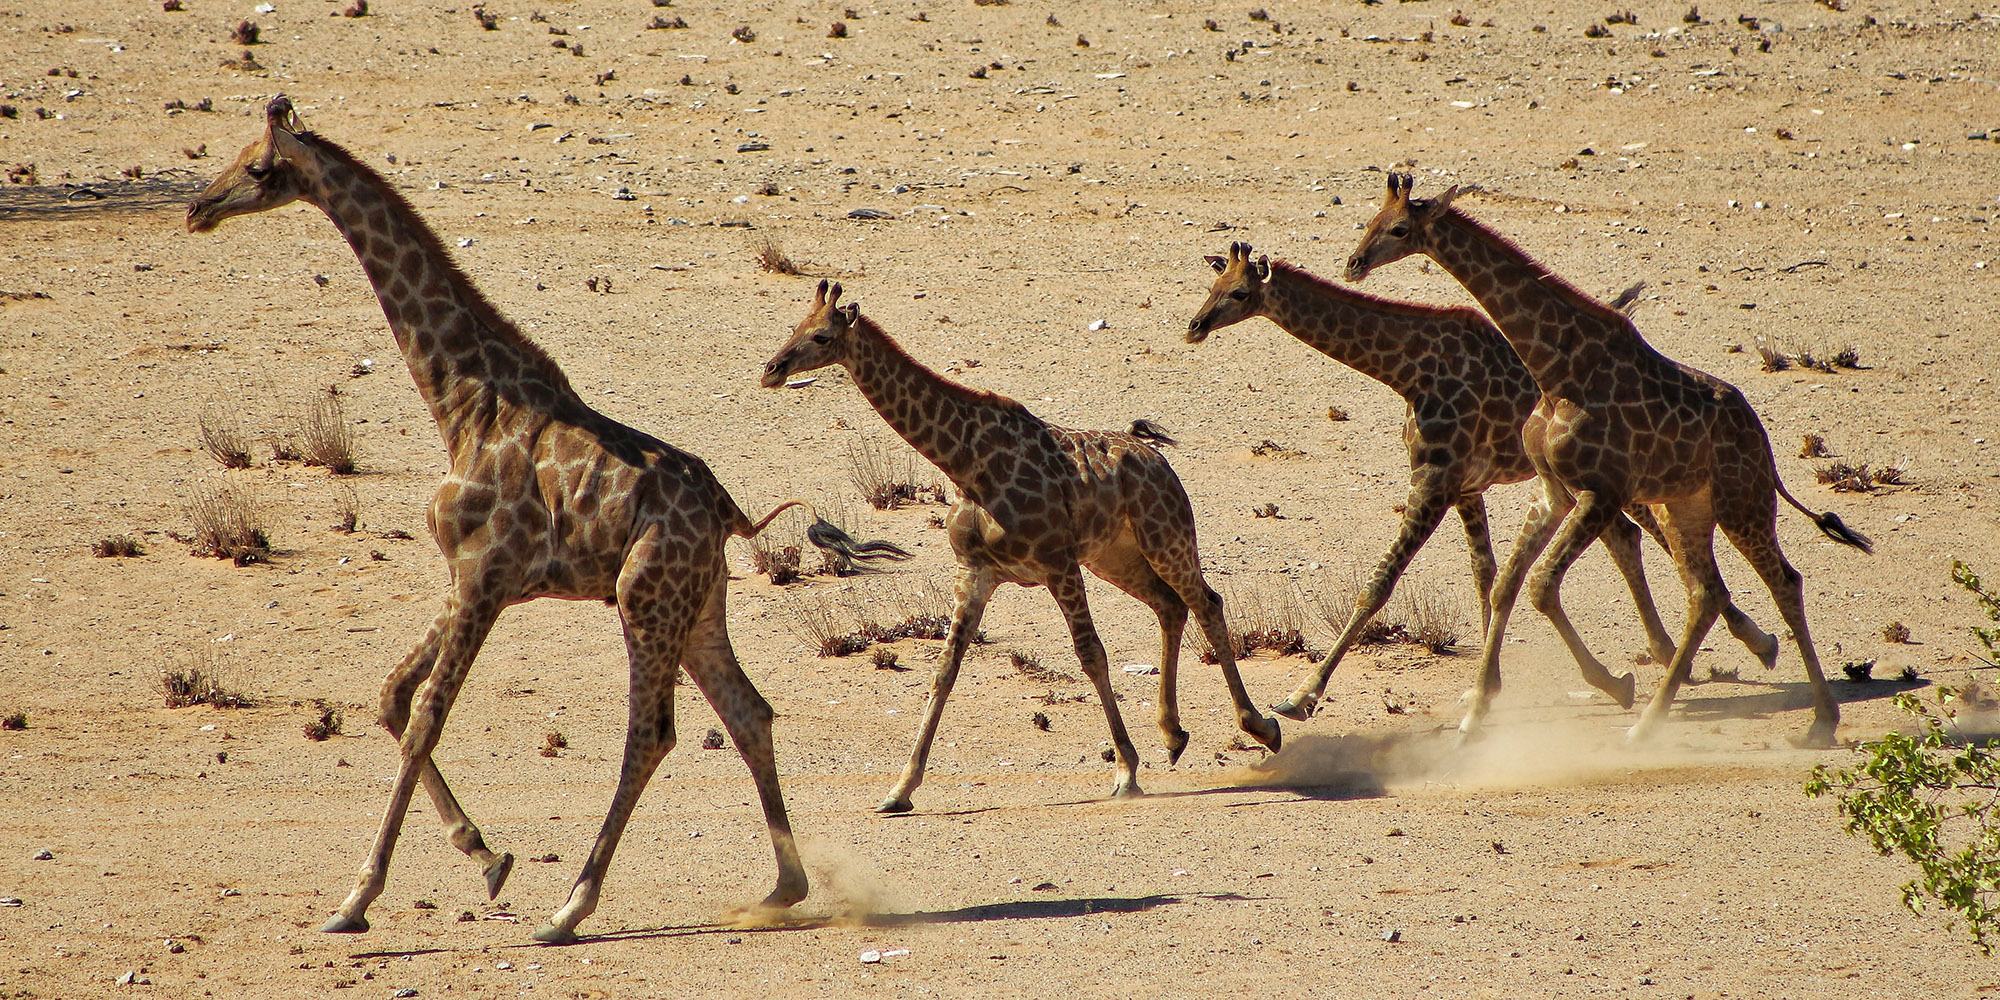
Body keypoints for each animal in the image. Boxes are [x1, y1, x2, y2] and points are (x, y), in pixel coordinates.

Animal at [186, 97, 908, 943]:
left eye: (258, 167)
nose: (198, 208)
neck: (464, 401)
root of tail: (731, 514)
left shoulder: (484, 576)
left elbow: (426, 714)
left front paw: (357, 899)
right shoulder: (467, 576)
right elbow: (392, 695)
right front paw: (484, 855)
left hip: (643, 597)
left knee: (651, 734)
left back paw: (571, 907)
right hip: (698, 605)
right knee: (749, 713)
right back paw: (780, 889)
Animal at [760, 280, 1282, 813]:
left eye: (822, 336)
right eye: (794, 326)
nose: (772, 369)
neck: (968, 464)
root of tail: (1158, 458)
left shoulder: (1057, 563)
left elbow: (1091, 654)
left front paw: (1125, 771)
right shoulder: (976, 571)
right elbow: (944, 669)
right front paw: (900, 789)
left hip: (1166, 537)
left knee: (1207, 602)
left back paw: (1262, 726)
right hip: (1114, 557)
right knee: (1171, 606)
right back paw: (1173, 735)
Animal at [1184, 241, 1780, 721]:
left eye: (1239, 292)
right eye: (1211, 285)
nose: (1194, 326)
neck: (1406, 370)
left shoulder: (1435, 480)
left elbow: (1378, 586)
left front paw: (1301, 696)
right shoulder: (1466, 487)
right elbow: (1486, 575)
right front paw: (1489, 688)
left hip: (1630, 480)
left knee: (1655, 540)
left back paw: (1753, 642)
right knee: (1631, 540)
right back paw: (1673, 653)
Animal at [1343, 173, 1870, 746]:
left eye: (1398, 228)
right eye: (1370, 218)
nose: (1353, 262)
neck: (1557, 368)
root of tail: (1764, 445)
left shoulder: (1601, 490)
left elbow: (1539, 584)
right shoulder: (1554, 489)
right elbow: (1507, 584)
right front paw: (1475, 714)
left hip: (1741, 504)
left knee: (1783, 582)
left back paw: (1819, 720)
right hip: (1688, 508)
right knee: (1705, 593)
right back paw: (1649, 723)